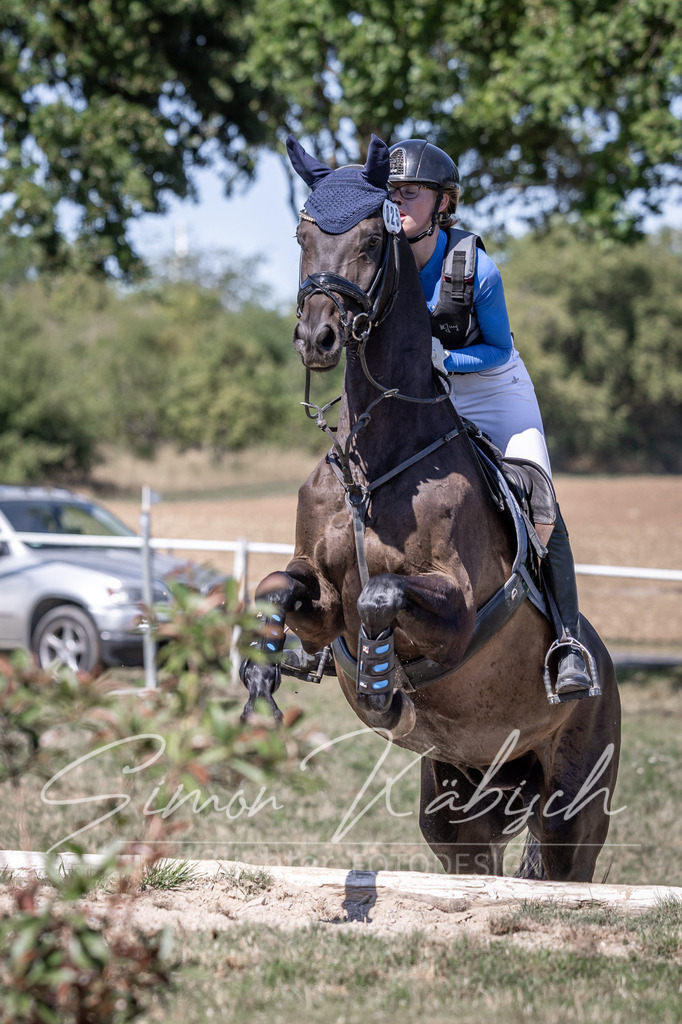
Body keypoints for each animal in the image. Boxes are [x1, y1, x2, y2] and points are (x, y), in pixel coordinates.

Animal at [241, 134, 621, 882]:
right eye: (302, 236)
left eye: (369, 239)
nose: (317, 339)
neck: (376, 460)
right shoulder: (320, 595)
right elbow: (277, 587)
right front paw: (262, 670)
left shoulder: (457, 607)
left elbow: (382, 593)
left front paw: (383, 685)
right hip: (460, 808)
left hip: (572, 807)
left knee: (564, 862)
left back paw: (570, 668)